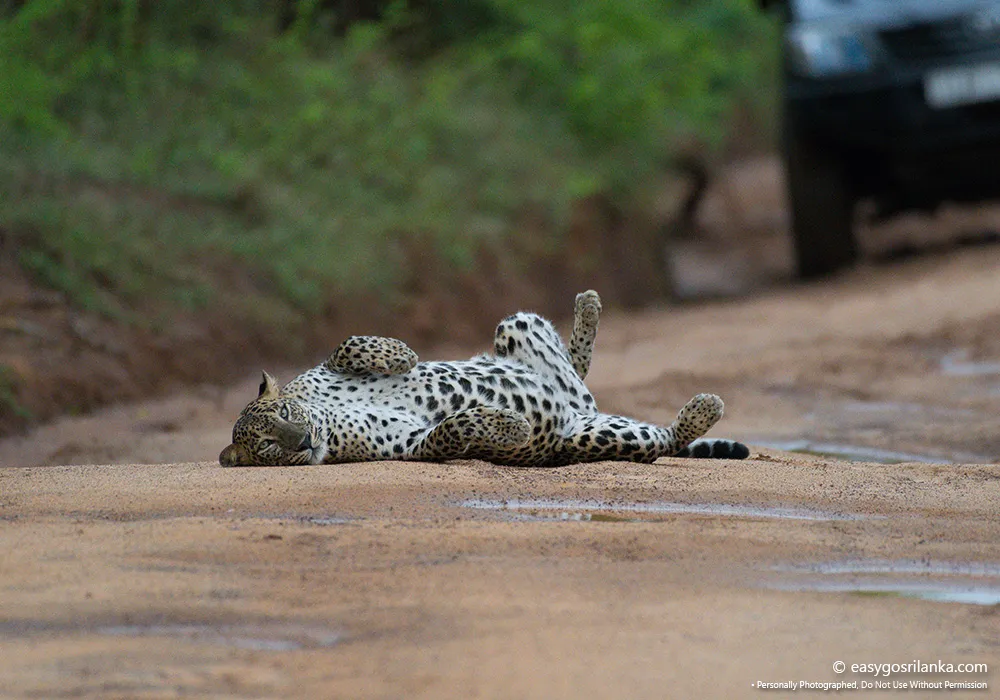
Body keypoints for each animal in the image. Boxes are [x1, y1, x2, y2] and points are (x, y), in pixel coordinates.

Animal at [219, 290, 749, 468]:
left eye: (286, 413)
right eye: (267, 445)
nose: (302, 440)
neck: (329, 417)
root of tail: (580, 410)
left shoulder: (326, 367)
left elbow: (347, 343)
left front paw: (401, 356)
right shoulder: (412, 446)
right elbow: (452, 429)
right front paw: (510, 425)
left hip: (517, 326)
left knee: (574, 368)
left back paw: (588, 307)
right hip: (591, 435)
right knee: (663, 440)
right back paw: (703, 408)